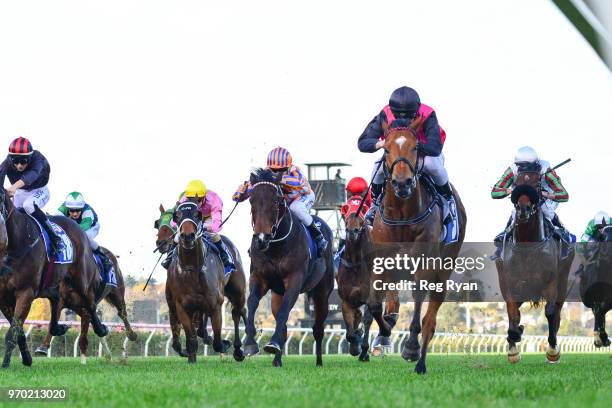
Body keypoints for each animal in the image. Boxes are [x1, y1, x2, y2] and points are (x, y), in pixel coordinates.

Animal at [0, 190, 107, 368]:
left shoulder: (26, 292)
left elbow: (13, 330)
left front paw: (5, 364)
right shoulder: (4, 298)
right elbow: (18, 330)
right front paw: (27, 359)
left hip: (81, 281)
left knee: (90, 305)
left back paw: (101, 329)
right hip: (55, 285)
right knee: (57, 304)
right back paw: (59, 328)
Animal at [243, 169, 334, 366]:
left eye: (276, 200)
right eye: (252, 199)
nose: (261, 238)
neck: (276, 246)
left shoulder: (294, 279)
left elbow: (285, 311)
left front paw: (272, 344)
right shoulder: (259, 277)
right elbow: (252, 302)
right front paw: (250, 344)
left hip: (322, 292)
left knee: (318, 328)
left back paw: (319, 362)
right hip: (277, 293)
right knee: (283, 324)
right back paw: (277, 360)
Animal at [368, 117, 468, 372]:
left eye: (415, 148)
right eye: (386, 149)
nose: (402, 183)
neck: (403, 214)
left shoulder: (424, 262)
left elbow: (418, 298)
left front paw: (411, 347)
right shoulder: (382, 260)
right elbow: (375, 304)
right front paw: (384, 332)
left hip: (444, 268)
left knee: (430, 318)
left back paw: (420, 361)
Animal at [494, 169, 576, 364]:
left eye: (538, 184)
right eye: (515, 183)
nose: (523, 209)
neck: (527, 245)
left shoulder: (551, 282)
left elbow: (551, 313)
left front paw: (552, 350)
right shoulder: (511, 284)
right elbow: (512, 313)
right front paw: (513, 345)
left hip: (563, 282)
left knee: (557, 312)